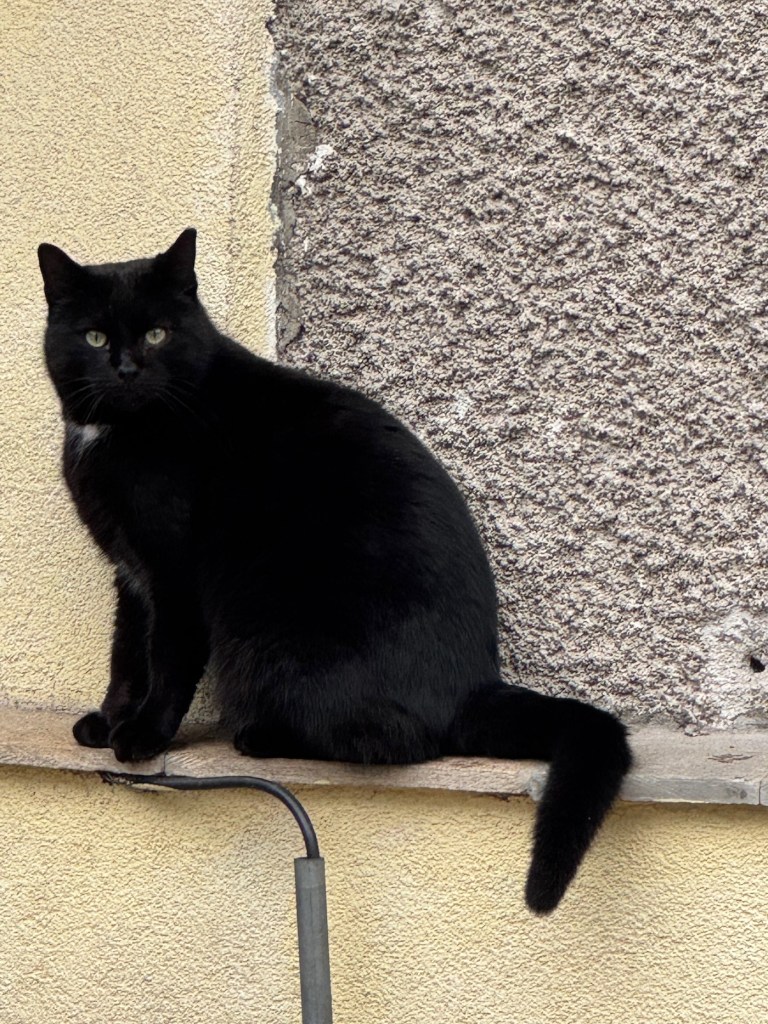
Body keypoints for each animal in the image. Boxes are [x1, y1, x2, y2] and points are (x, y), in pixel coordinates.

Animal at [38, 228, 631, 914]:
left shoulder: (174, 575)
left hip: (273, 637)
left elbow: (166, 659)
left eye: (157, 334)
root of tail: (473, 686)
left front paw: (143, 735)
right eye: (94, 337)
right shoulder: (131, 575)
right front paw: (108, 721)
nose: (127, 368)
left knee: (399, 742)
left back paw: (260, 736)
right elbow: (127, 655)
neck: (116, 434)